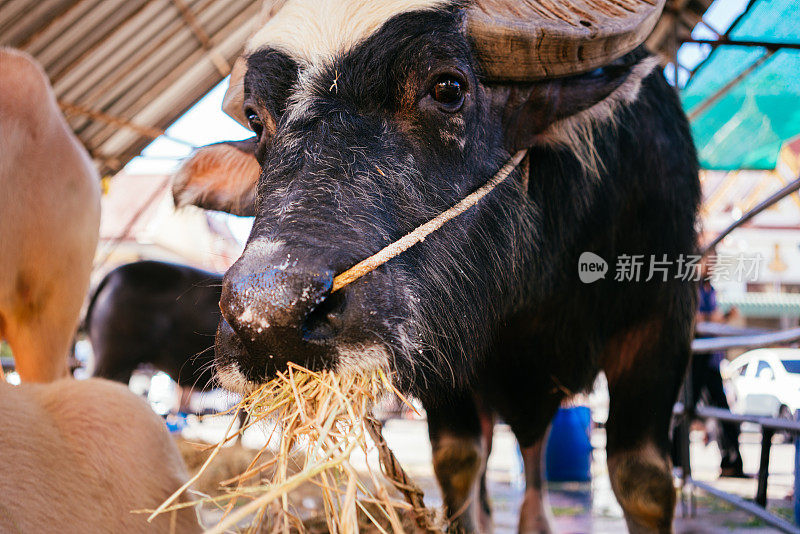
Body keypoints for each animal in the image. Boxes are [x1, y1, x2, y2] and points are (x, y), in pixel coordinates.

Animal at [172, 2, 696, 532]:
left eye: (448, 88)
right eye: (255, 118)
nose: (267, 318)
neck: (534, 280)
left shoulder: (662, 318)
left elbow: (641, 477)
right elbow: (458, 459)